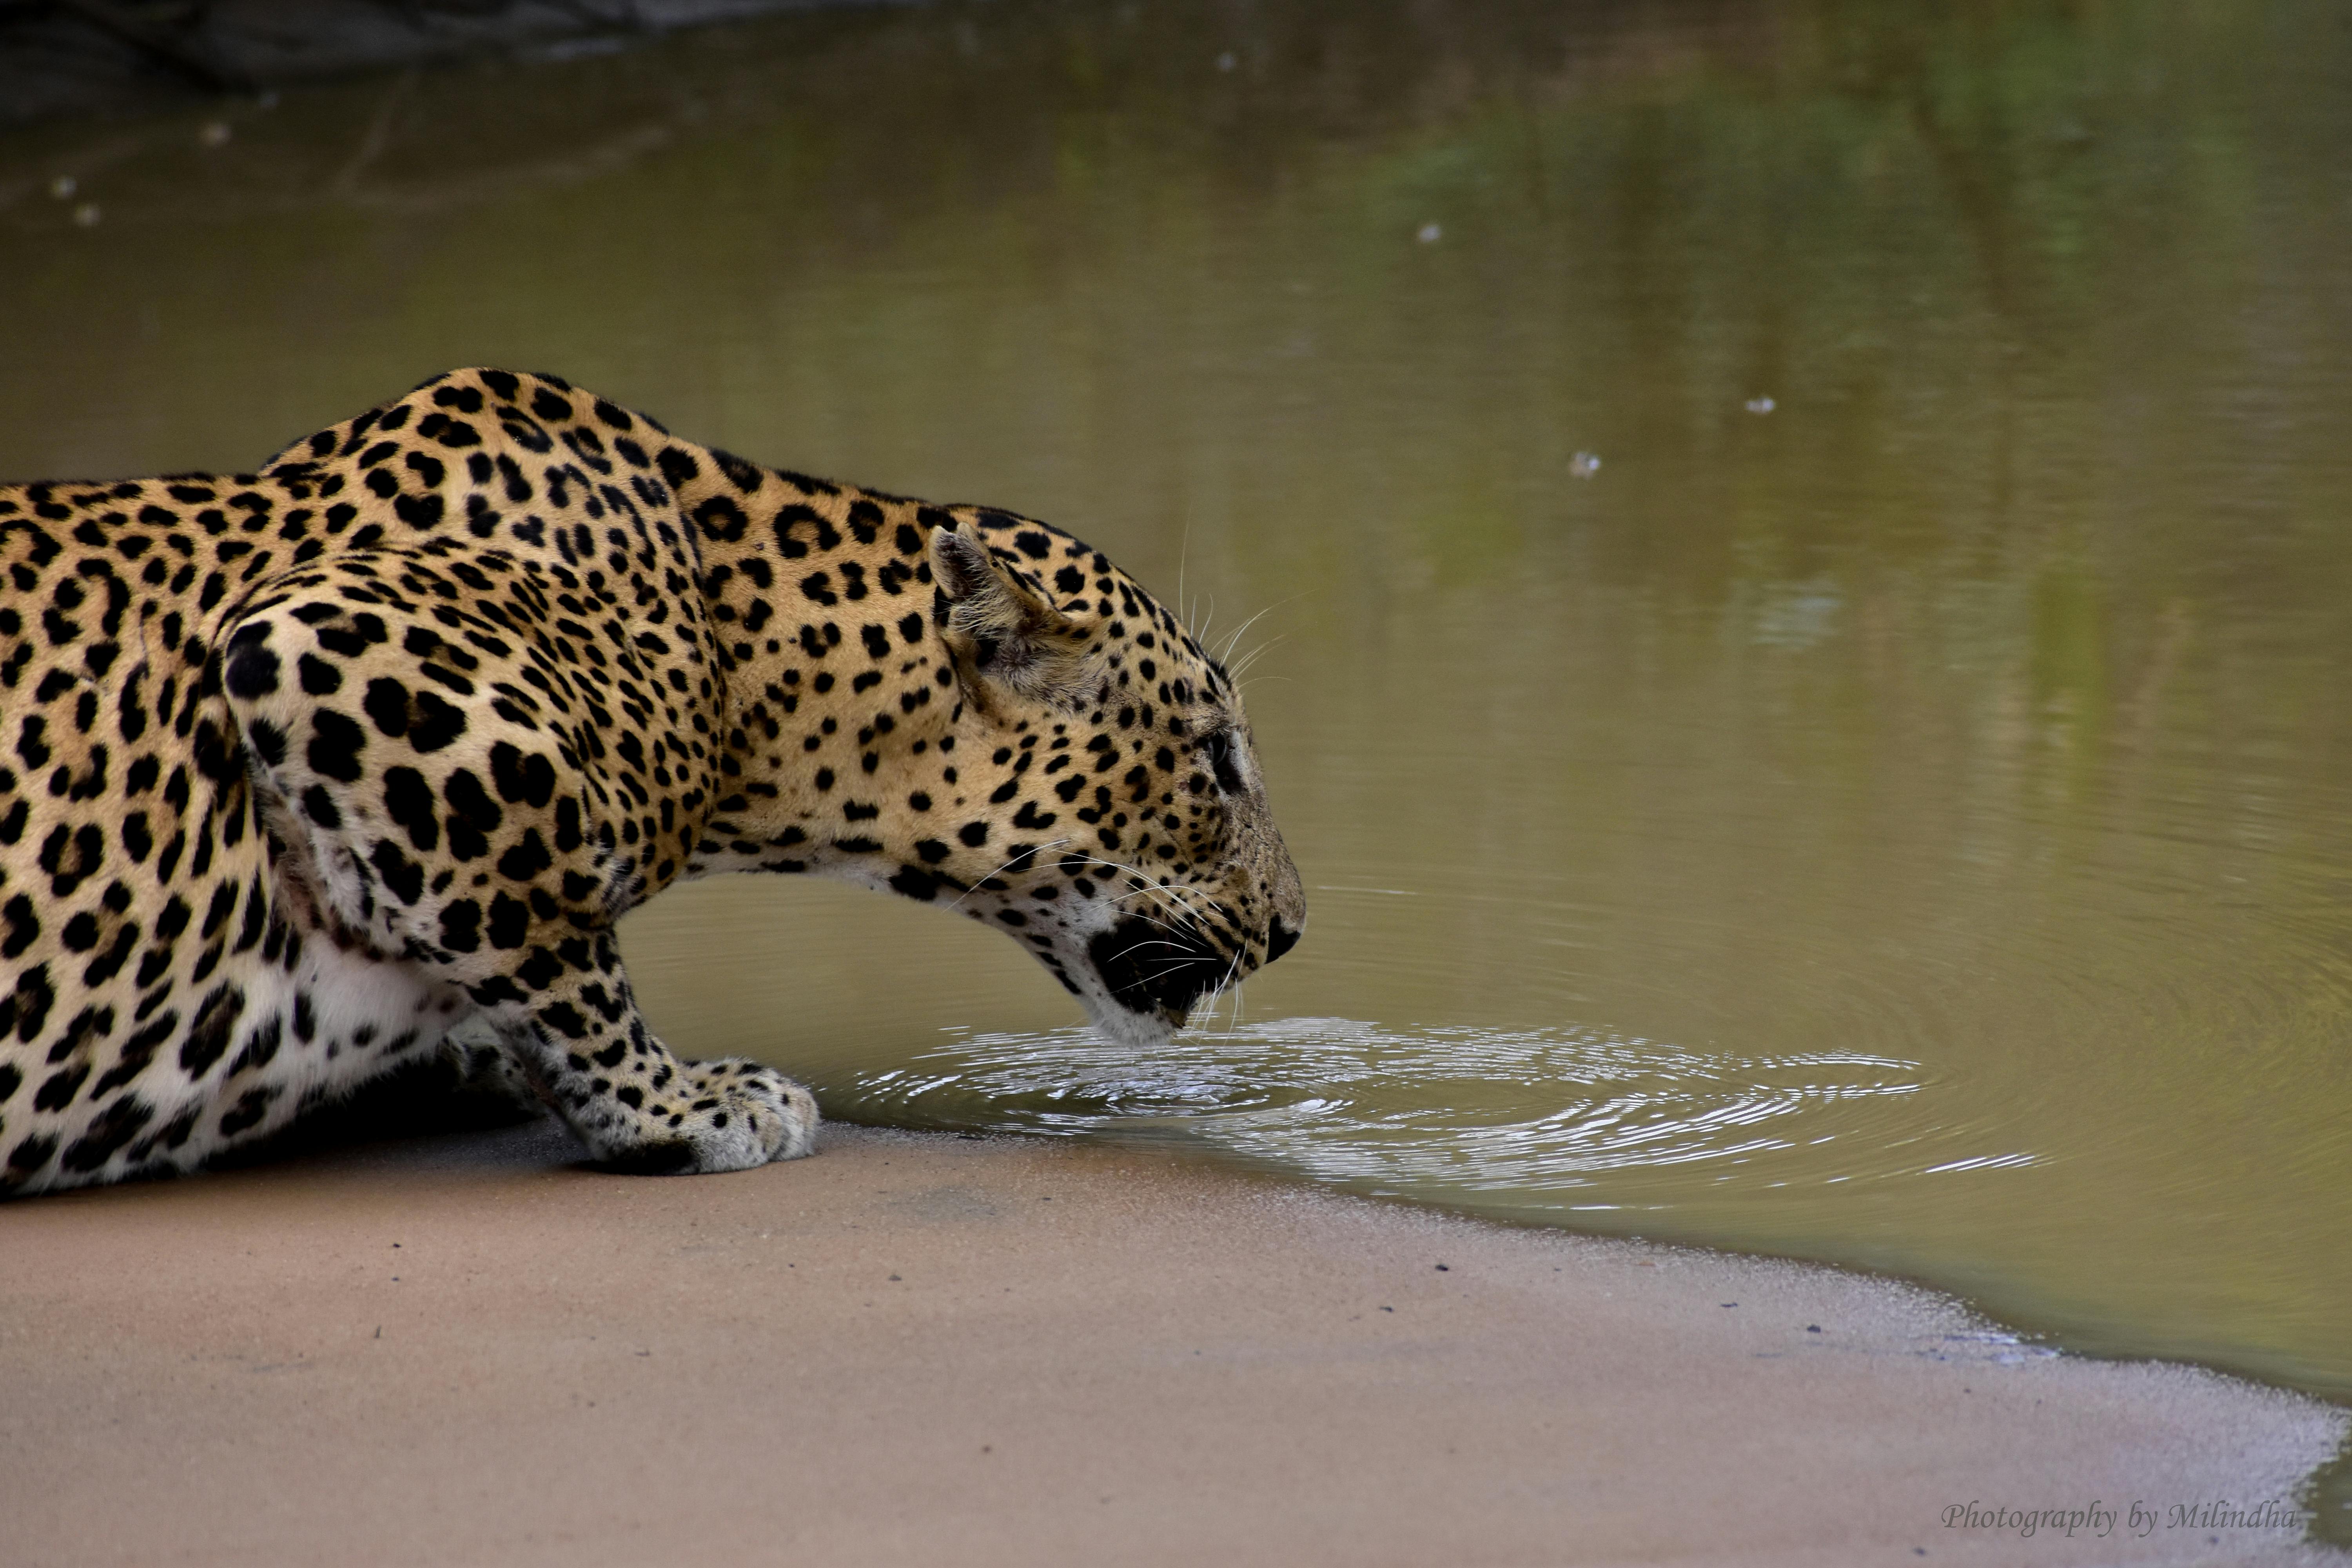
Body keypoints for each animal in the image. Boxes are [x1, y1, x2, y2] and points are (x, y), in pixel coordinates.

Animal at [0, 371, 1308, 1203]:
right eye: (1214, 760)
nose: (1295, 929)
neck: (747, 670)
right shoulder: (332, 645)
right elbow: (550, 934)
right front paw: (684, 1103)